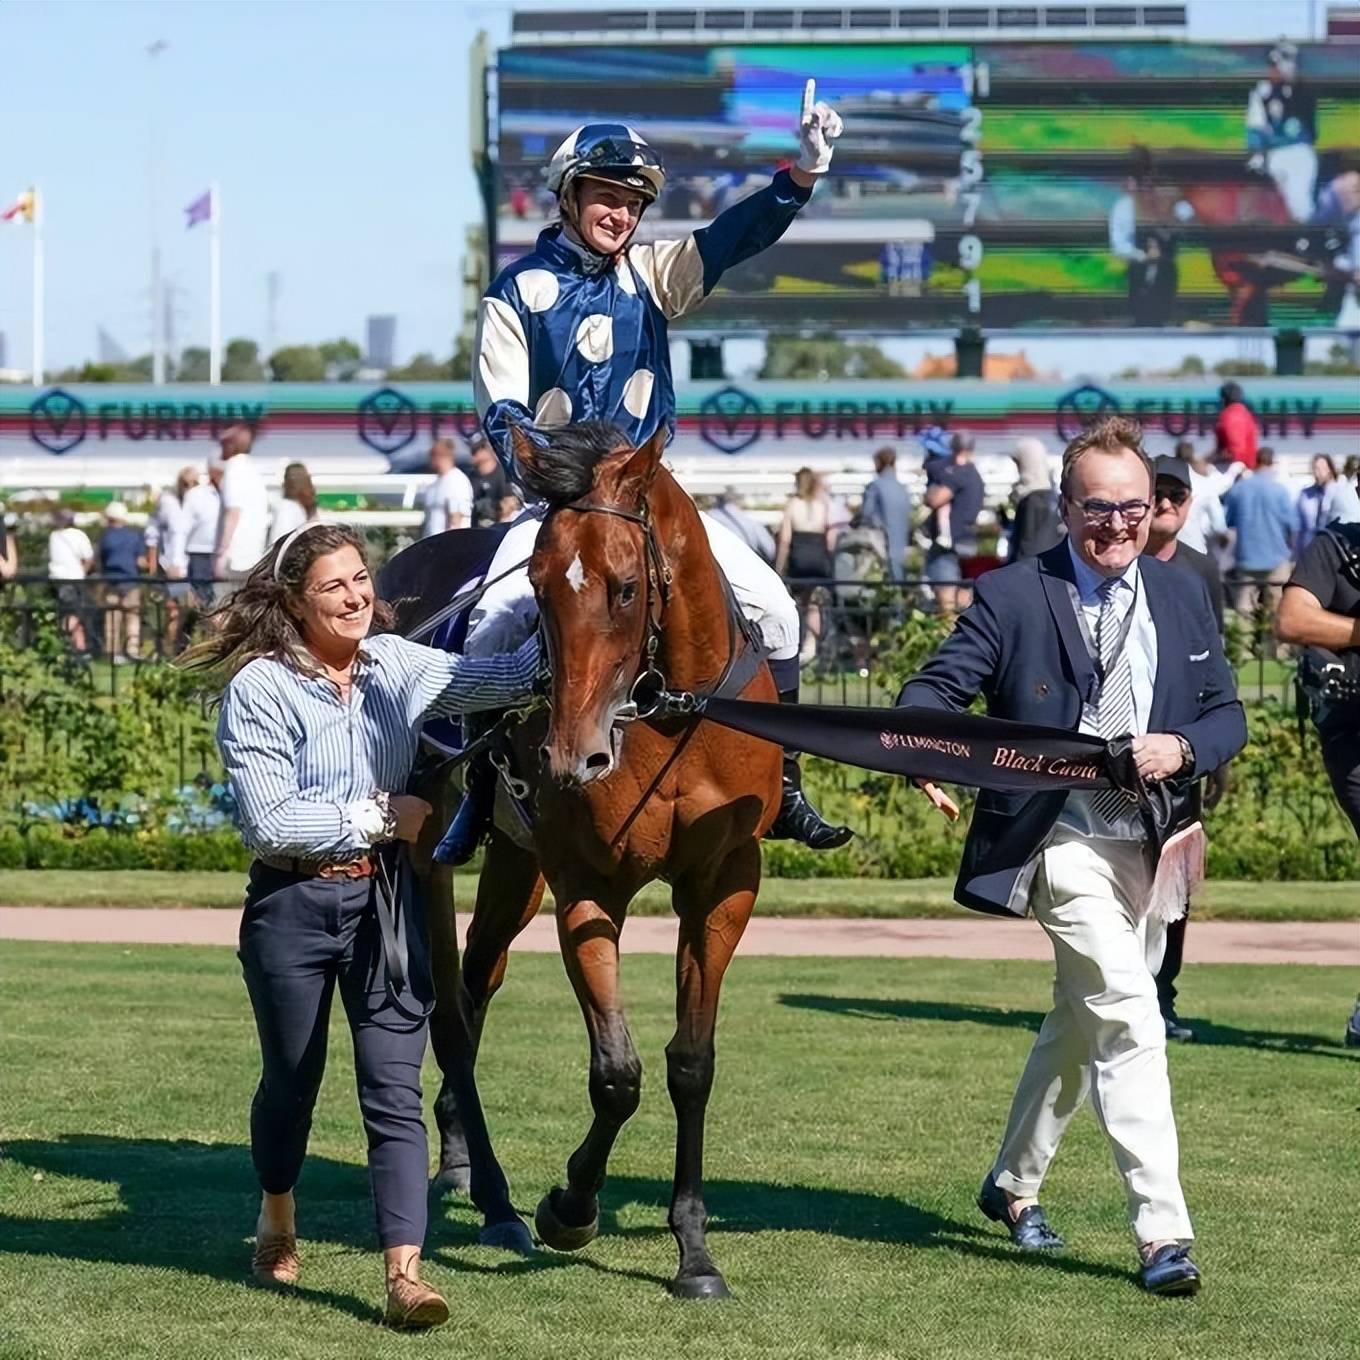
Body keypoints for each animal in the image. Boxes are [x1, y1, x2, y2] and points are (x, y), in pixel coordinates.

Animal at [408, 418, 783, 1300]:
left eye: (623, 588)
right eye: (539, 587)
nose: (566, 756)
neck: (673, 714)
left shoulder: (723, 884)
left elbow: (690, 1064)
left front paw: (694, 1252)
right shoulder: (588, 886)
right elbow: (617, 1074)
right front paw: (570, 1206)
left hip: (514, 868)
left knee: (475, 989)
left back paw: (463, 1163)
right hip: (425, 855)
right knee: (449, 1014)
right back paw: (500, 1201)